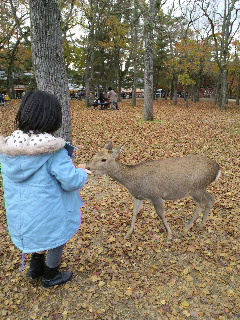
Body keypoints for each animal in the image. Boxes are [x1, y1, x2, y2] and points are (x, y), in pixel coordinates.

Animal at [86, 141, 221, 239]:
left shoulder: (155, 195)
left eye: (103, 159)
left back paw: (186, 229)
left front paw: (169, 234)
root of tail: (217, 169)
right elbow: (134, 212)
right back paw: (201, 225)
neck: (132, 182)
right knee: (210, 199)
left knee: (202, 203)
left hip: (196, 189)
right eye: (94, 155)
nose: (88, 167)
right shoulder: (138, 196)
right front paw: (128, 233)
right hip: (202, 188)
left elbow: (161, 214)